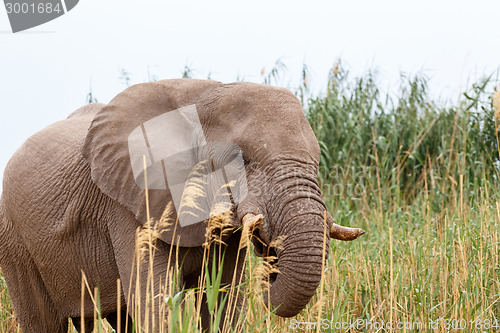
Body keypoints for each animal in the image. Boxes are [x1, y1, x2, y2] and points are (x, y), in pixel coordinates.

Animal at [0, 79, 366, 330]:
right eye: (243, 160)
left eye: (317, 162)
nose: (269, 253)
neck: (203, 96)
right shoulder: (132, 204)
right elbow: (156, 304)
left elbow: (223, 303)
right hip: (14, 241)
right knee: (43, 321)